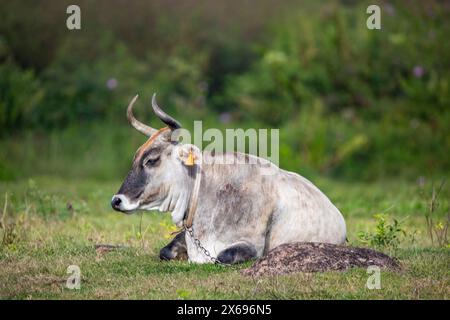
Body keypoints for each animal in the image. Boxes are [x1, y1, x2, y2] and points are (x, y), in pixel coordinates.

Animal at [110, 94, 346, 264]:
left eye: (152, 160)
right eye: (135, 158)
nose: (116, 200)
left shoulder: (251, 246)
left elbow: (222, 257)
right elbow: (165, 251)